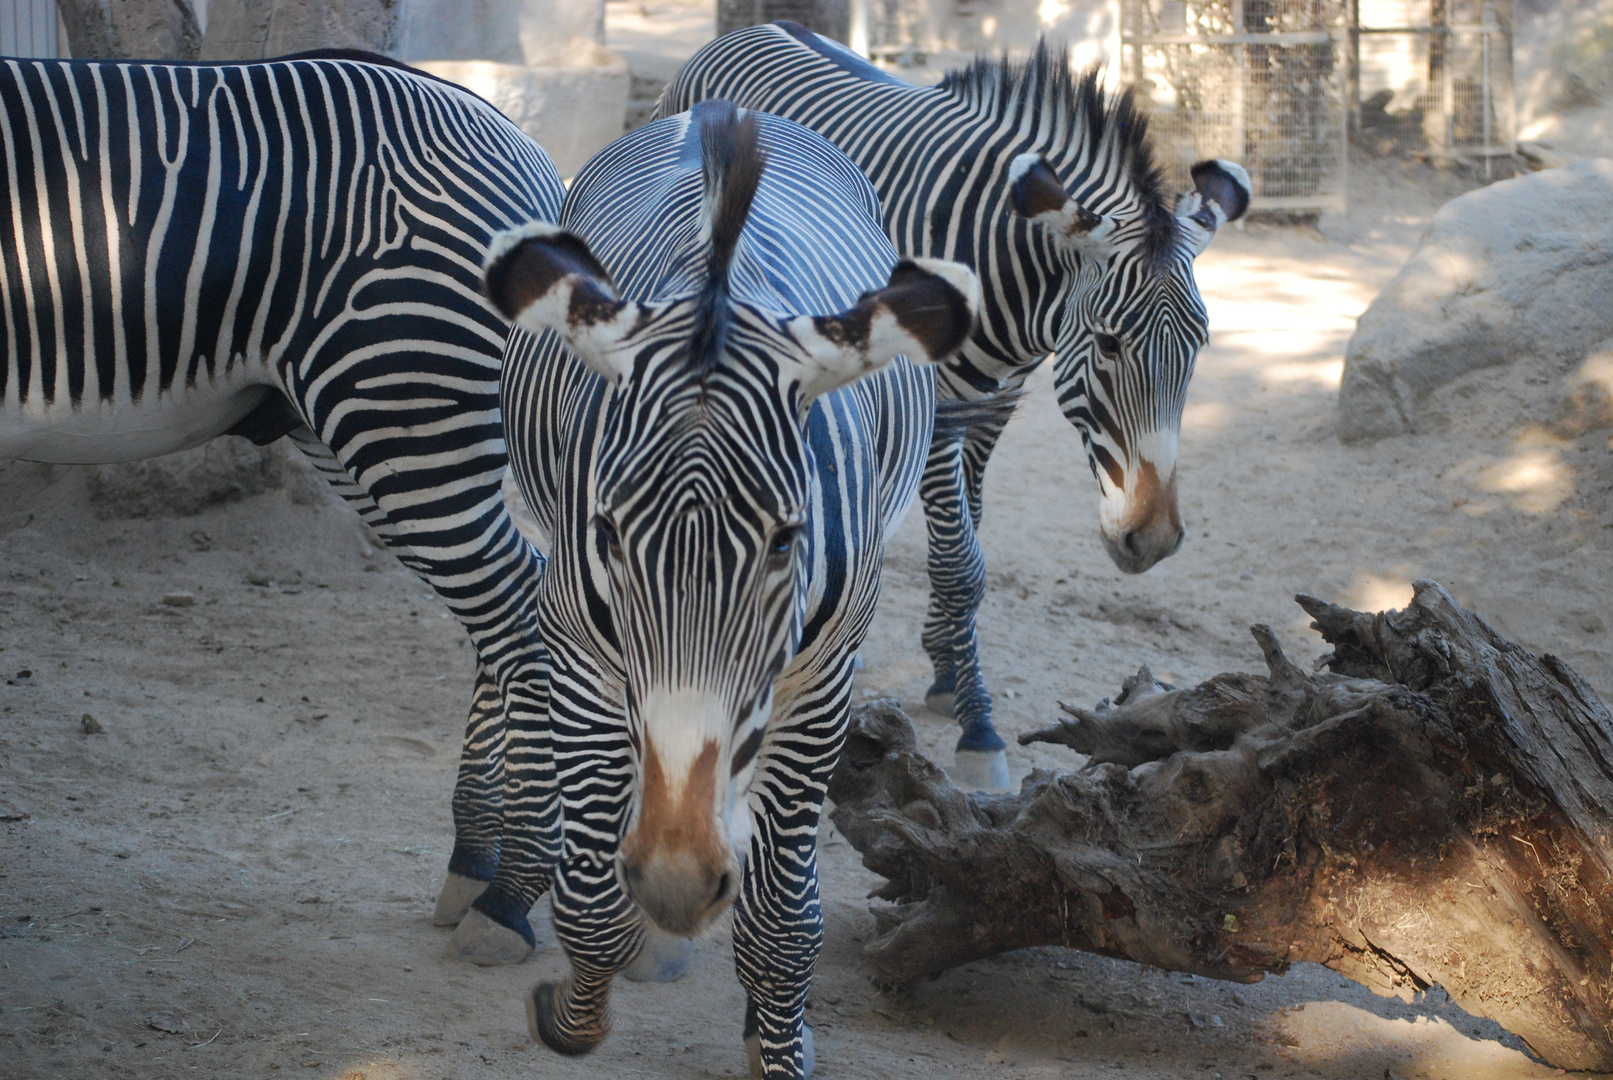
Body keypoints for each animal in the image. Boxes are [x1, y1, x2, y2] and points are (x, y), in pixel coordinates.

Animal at [0, 50, 567, 960]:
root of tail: (509, 129)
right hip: (341, 425)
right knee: (512, 596)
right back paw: (475, 860)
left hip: (400, 404)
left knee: (518, 607)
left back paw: (510, 894)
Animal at [483, 99, 974, 1076]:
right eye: (607, 533)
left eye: (787, 539)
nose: (679, 880)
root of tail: (718, 111)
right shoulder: (577, 654)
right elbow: (591, 903)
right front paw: (572, 1013)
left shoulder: (821, 681)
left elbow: (782, 919)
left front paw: (776, 1045)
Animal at [661, 21, 1251, 789]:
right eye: (1107, 343)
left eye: (1200, 344)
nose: (1151, 541)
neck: (1013, 279)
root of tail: (748, 28)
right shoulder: (939, 407)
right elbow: (960, 562)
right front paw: (979, 725)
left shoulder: (997, 401)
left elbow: (970, 528)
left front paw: (945, 663)